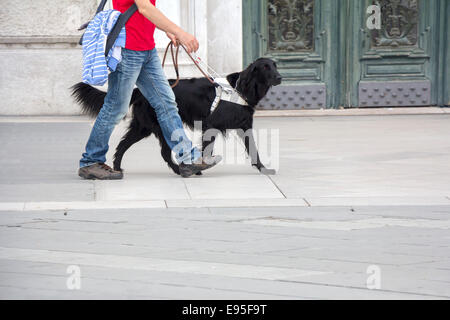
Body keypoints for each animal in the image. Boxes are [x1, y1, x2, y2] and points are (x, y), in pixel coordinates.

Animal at [71, 58, 282, 176]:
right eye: (265, 67)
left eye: (274, 65)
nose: (280, 77)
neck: (241, 88)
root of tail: (139, 90)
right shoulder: (210, 126)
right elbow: (207, 150)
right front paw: (202, 166)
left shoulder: (244, 127)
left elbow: (254, 151)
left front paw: (263, 169)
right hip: (151, 126)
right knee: (135, 147)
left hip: (149, 127)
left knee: (139, 148)